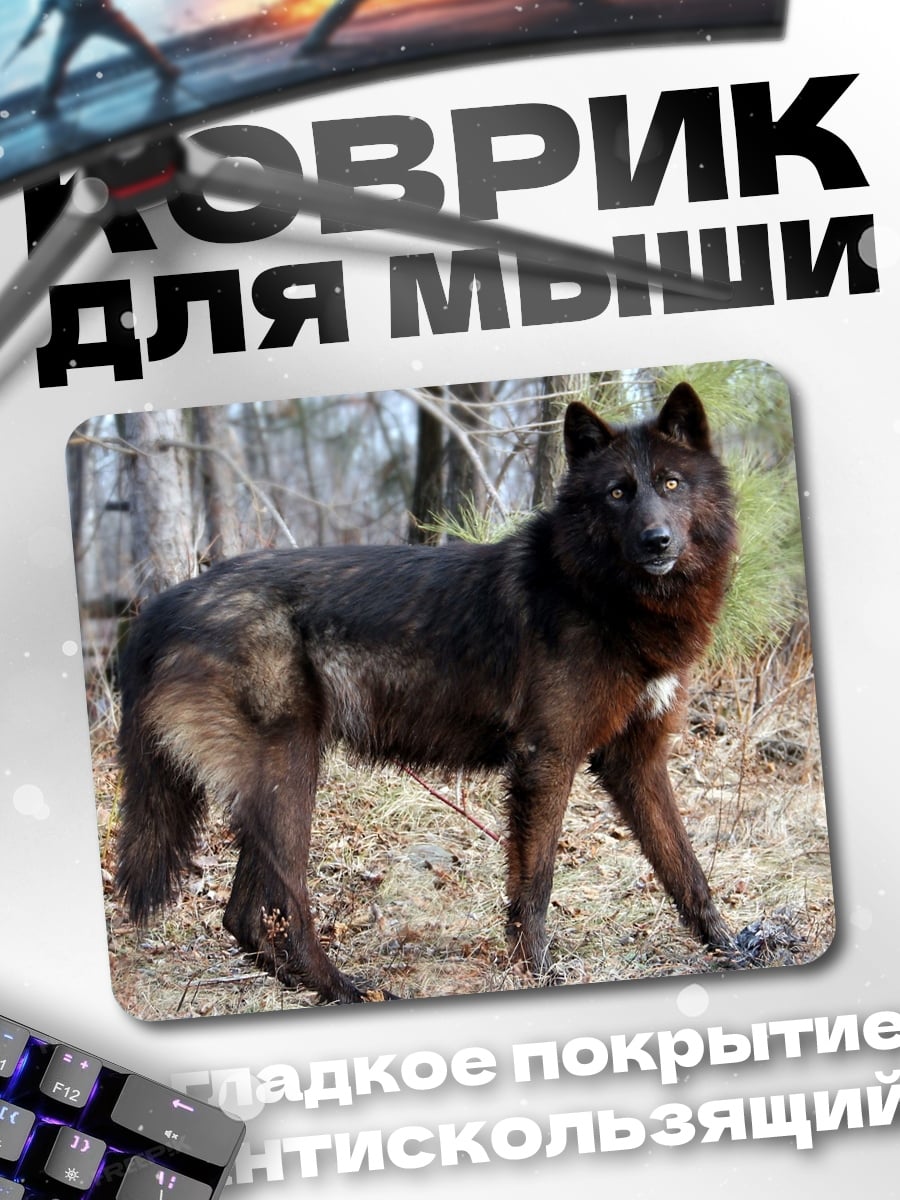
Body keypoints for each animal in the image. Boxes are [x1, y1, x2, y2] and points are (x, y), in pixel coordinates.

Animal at [116, 382, 738, 1003]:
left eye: (671, 484)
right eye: (617, 492)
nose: (656, 540)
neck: (597, 590)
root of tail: (163, 607)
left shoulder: (636, 761)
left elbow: (686, 866)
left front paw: (731, 946)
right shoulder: (548, 759)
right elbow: (536, 883)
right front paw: (536, 972)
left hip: (279, 782)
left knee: (243, 916)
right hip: (290, 776)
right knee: (275, 908)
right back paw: (346, 989)